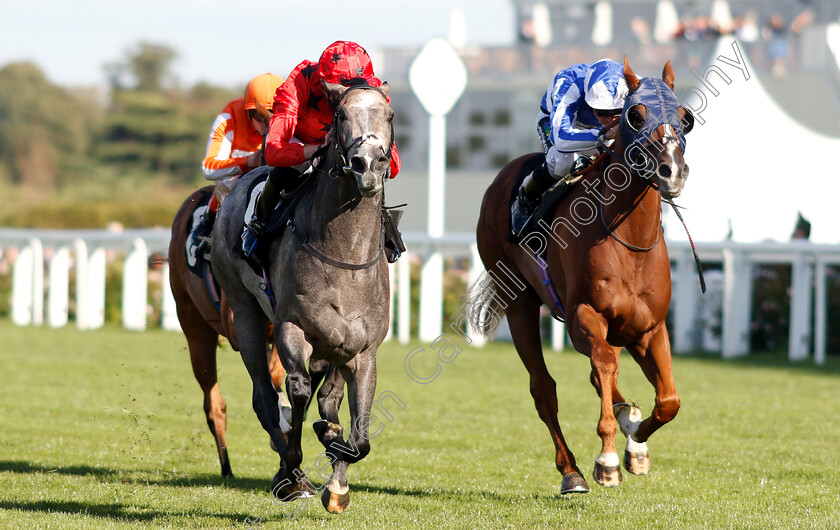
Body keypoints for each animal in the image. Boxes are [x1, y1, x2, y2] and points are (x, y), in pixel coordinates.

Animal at [210, 81, 394, 512]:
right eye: (341, 115)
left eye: (390, 115)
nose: (368, 164)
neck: (346, 254)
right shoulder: (292, 327)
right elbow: (295, 392)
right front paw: (295, 466)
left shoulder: (363, 350)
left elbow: (358, 434)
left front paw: (338, 481)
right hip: (245, 312)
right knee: (265, 397)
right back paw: (289, 475)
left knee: (325, 400)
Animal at [466, 58, 696, 490]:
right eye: (636, 115)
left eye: (685, 117)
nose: (672, 170)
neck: (629, 240)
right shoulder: (584, 317)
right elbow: (603, 365)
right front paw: (607, 458)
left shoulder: (649, 328)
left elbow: (669, 401)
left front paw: (635, 439)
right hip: (520, 304)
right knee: (544, 389)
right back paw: (570, 471)